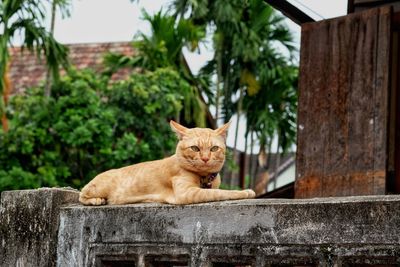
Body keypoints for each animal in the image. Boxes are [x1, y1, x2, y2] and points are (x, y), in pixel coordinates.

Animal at [79, 120, 256, 206]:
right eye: (195, 148)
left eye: (214, 148)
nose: (205, 158)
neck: (205, 178)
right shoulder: (187, 193)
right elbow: (222, 192)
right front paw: (245, 192)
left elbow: (218, 190)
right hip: (98, 187)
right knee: (82, 195)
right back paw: (97, 200)